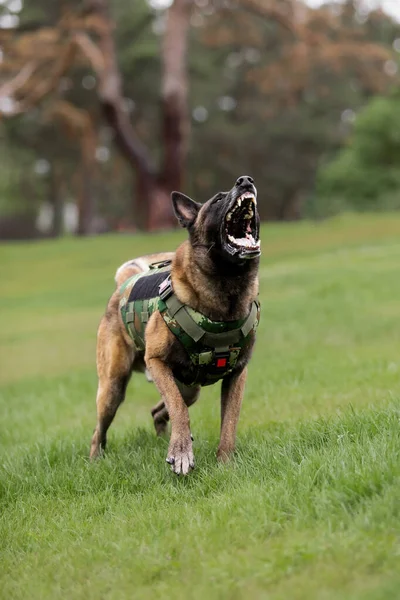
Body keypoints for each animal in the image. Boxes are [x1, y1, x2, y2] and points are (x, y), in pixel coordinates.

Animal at [89, 173, 260, 474]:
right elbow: (179, 409)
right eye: (217, 199)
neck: (225, 288)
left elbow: (229, 422)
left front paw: (225, 463)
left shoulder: (237, 374)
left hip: (190, 387)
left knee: (159, 410)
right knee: (99, 431)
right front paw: (181, 452)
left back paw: (161, 438)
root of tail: (123, 285)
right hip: (112, 388)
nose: (245, 180)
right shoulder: (157, 362)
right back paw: (95, 460)